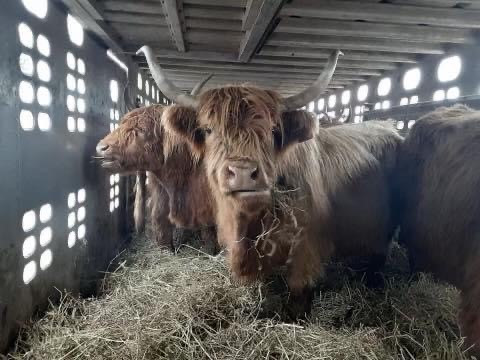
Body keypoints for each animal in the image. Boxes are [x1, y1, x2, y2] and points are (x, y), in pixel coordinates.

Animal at [139, 44, 402, 316]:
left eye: (273, 131)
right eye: (208, 130)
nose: (243, 172)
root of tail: (386, 124)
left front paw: (296, 316)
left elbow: (298, 291)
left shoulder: (306, 249)